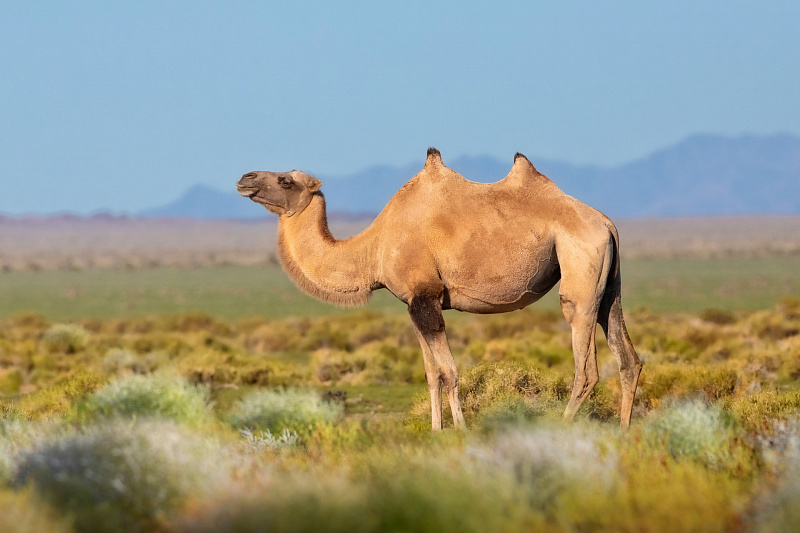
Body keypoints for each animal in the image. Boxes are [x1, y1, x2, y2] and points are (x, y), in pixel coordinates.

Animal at [237, 148, 643, 430]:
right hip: (610, 287)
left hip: (579, 272)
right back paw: (624, 431)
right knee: (628, 356)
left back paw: (561, 427)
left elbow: (449, 372)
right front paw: (435, 430)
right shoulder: (413, 304)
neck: (374, 249)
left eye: (286, 180)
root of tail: (606, 223)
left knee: (586, 364)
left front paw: (460, 430)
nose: (245, 177)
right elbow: (432, 374)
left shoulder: (425, 297)